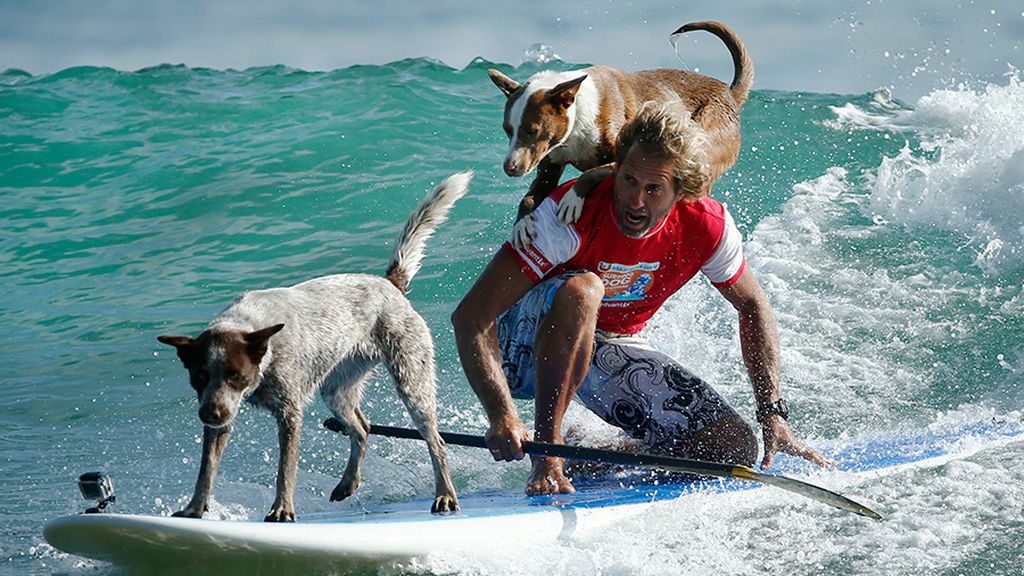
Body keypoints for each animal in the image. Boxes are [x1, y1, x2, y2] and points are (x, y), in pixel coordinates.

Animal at [156, 170, 471, 520]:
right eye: (199, 377)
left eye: (236, 376)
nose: (209, 414)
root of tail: (390, 283)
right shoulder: (224, 413)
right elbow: (207, 467)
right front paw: (194, 508)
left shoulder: (289, 413)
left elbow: (285, 468)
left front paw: (282, 508)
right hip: (337, 388)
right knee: (362, 427)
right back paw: (347, 483)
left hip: (411, 379)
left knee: (435, 441)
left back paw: (445, 494)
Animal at [491, 19, 757, 243]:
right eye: (507, 130)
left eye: (532, 130)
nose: (509, 168)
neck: (578, 119)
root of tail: (729, 93)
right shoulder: (550, 165)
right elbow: (529, 197)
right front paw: (522, 223)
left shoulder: (621, 159)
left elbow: (593, 172)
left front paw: (573, 197)